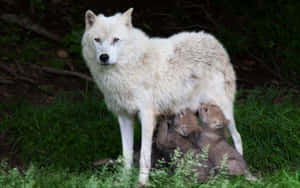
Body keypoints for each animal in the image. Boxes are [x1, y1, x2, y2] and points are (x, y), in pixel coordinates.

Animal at [82, 8, 244, 185]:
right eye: (97, 40)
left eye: (115, 40)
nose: (104, 57)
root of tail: (214, 41)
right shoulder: (124, 117)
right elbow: (127, 156)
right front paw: (124, 180)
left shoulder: (146, 117)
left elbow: (144, 156)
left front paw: (142, 182)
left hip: (224, 111)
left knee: (237, 137)